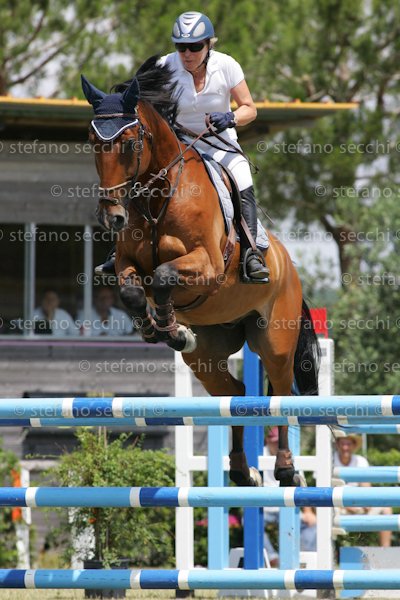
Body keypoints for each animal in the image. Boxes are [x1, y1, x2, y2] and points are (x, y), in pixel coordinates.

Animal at [81, 56, 320, 487]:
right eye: (93, 142)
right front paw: (161, 328)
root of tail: (290, 266)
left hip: (275, 340)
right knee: (235, 393)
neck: (159, 197)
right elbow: (132, 290)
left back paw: (286, 470)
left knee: (280, 393)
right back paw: (241, 471)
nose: (112, 217)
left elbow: (163, 276)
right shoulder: (126, 265)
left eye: (129, 143)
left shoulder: (206, 266)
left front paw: (169, 326)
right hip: (209, 356)